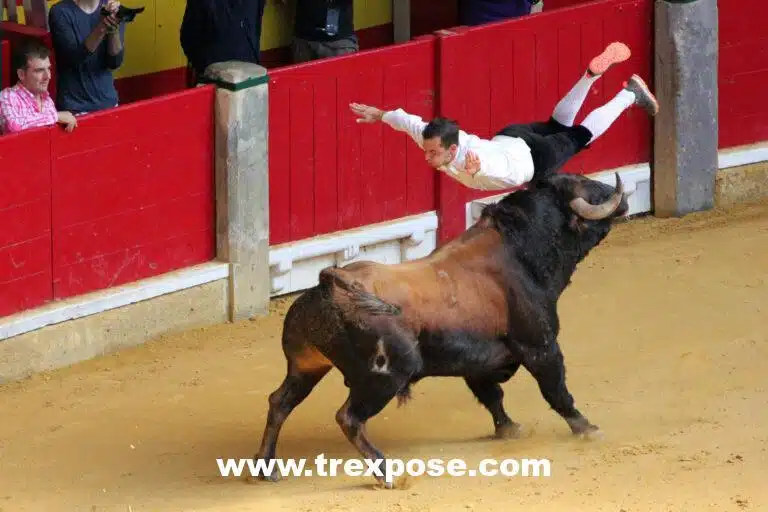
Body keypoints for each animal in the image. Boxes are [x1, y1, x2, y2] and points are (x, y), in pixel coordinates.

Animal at [252, 171, 632, 488]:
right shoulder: (541, 346)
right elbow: (556, 391)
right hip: (385, 375)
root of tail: (328, 283)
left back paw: (265, 467)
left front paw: (509, 429)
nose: (621, 197)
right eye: (585, 185)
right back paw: (387, 474)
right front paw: (587, 428)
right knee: (349, 417)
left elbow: (492, 396)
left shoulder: (478, 361)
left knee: (279, 402)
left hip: (306, 365)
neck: (519, 254)